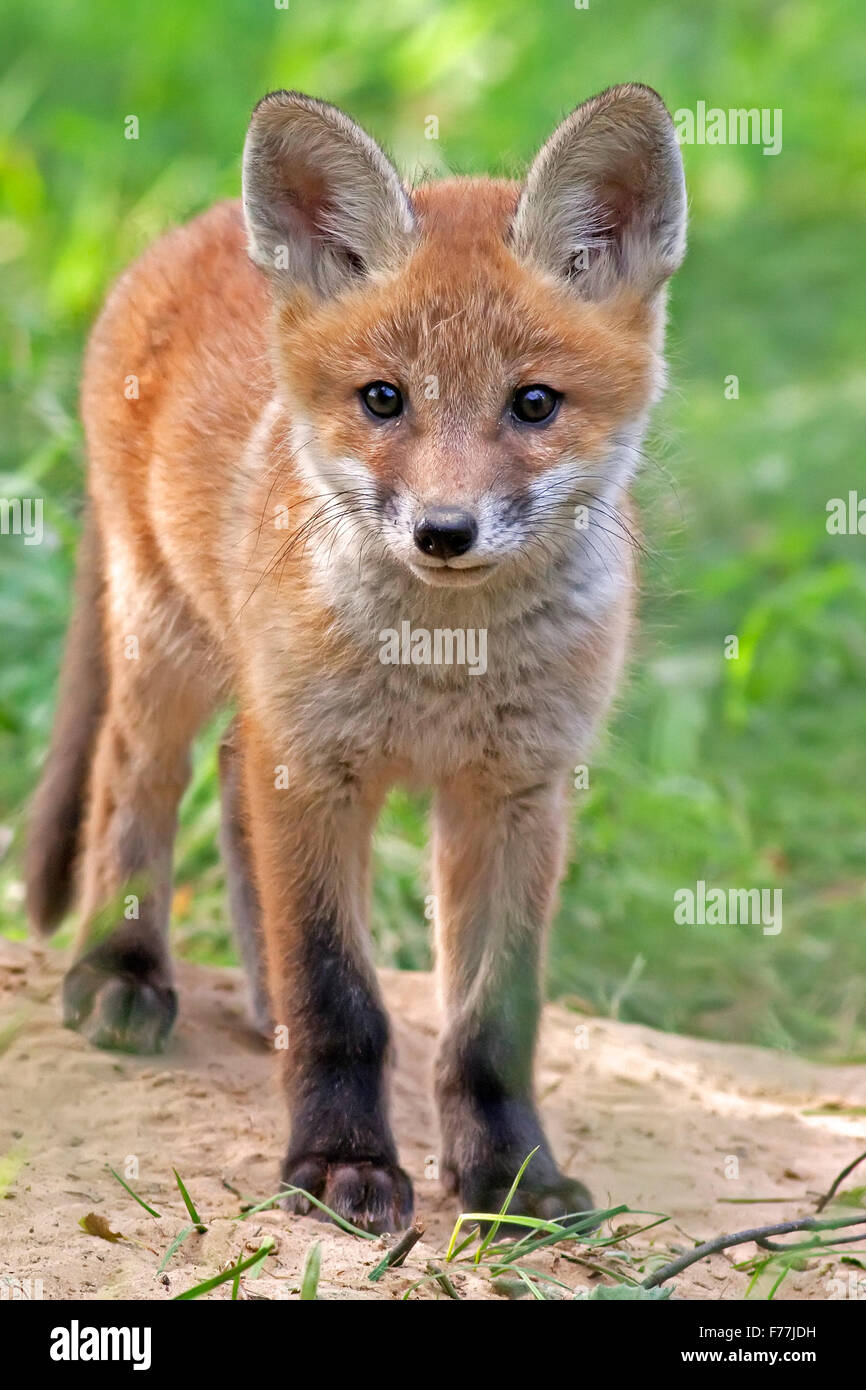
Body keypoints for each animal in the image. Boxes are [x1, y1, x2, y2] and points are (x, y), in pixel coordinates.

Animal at [25, 84, 683, 1239]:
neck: (443, 665)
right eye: (384, 399)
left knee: (228, 781)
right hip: (166, 643)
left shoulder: (516, 792)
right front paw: (338, 1165)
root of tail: (186, 233)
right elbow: (338, 997)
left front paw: (513, 1178)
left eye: (533, 403)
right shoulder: (315, 766)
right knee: (133, 782)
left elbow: (491, 1025)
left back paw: (256, 1004)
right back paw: (123, 967)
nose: (444, 532)